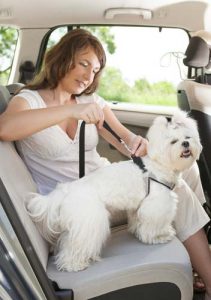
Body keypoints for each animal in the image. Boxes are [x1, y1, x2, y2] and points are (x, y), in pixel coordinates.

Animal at [25, 110, 202, 272]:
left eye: (187, 137)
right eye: (174, 141)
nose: (185, 144)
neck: (158, 165)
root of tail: (66, 190)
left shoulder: (139, 206)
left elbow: (138, 220)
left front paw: (138, 232)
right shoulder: (157, 204)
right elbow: (155, 224)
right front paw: (160, 236)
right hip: (90, 221)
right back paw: (74, 264)